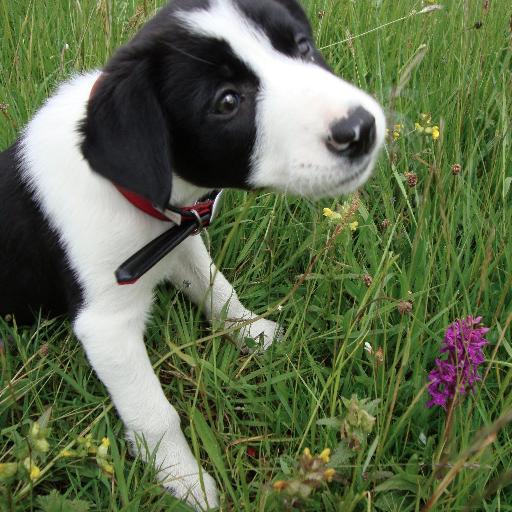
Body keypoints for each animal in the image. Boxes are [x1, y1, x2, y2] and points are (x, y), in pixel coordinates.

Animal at [0, 0, 384, 508]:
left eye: (302, 47)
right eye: (226, 102)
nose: (360, 129)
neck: (131, 190)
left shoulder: (180, 241)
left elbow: (218, 288)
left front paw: (254, 332)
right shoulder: (107, 328)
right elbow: (154, 413)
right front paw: (184, 480)